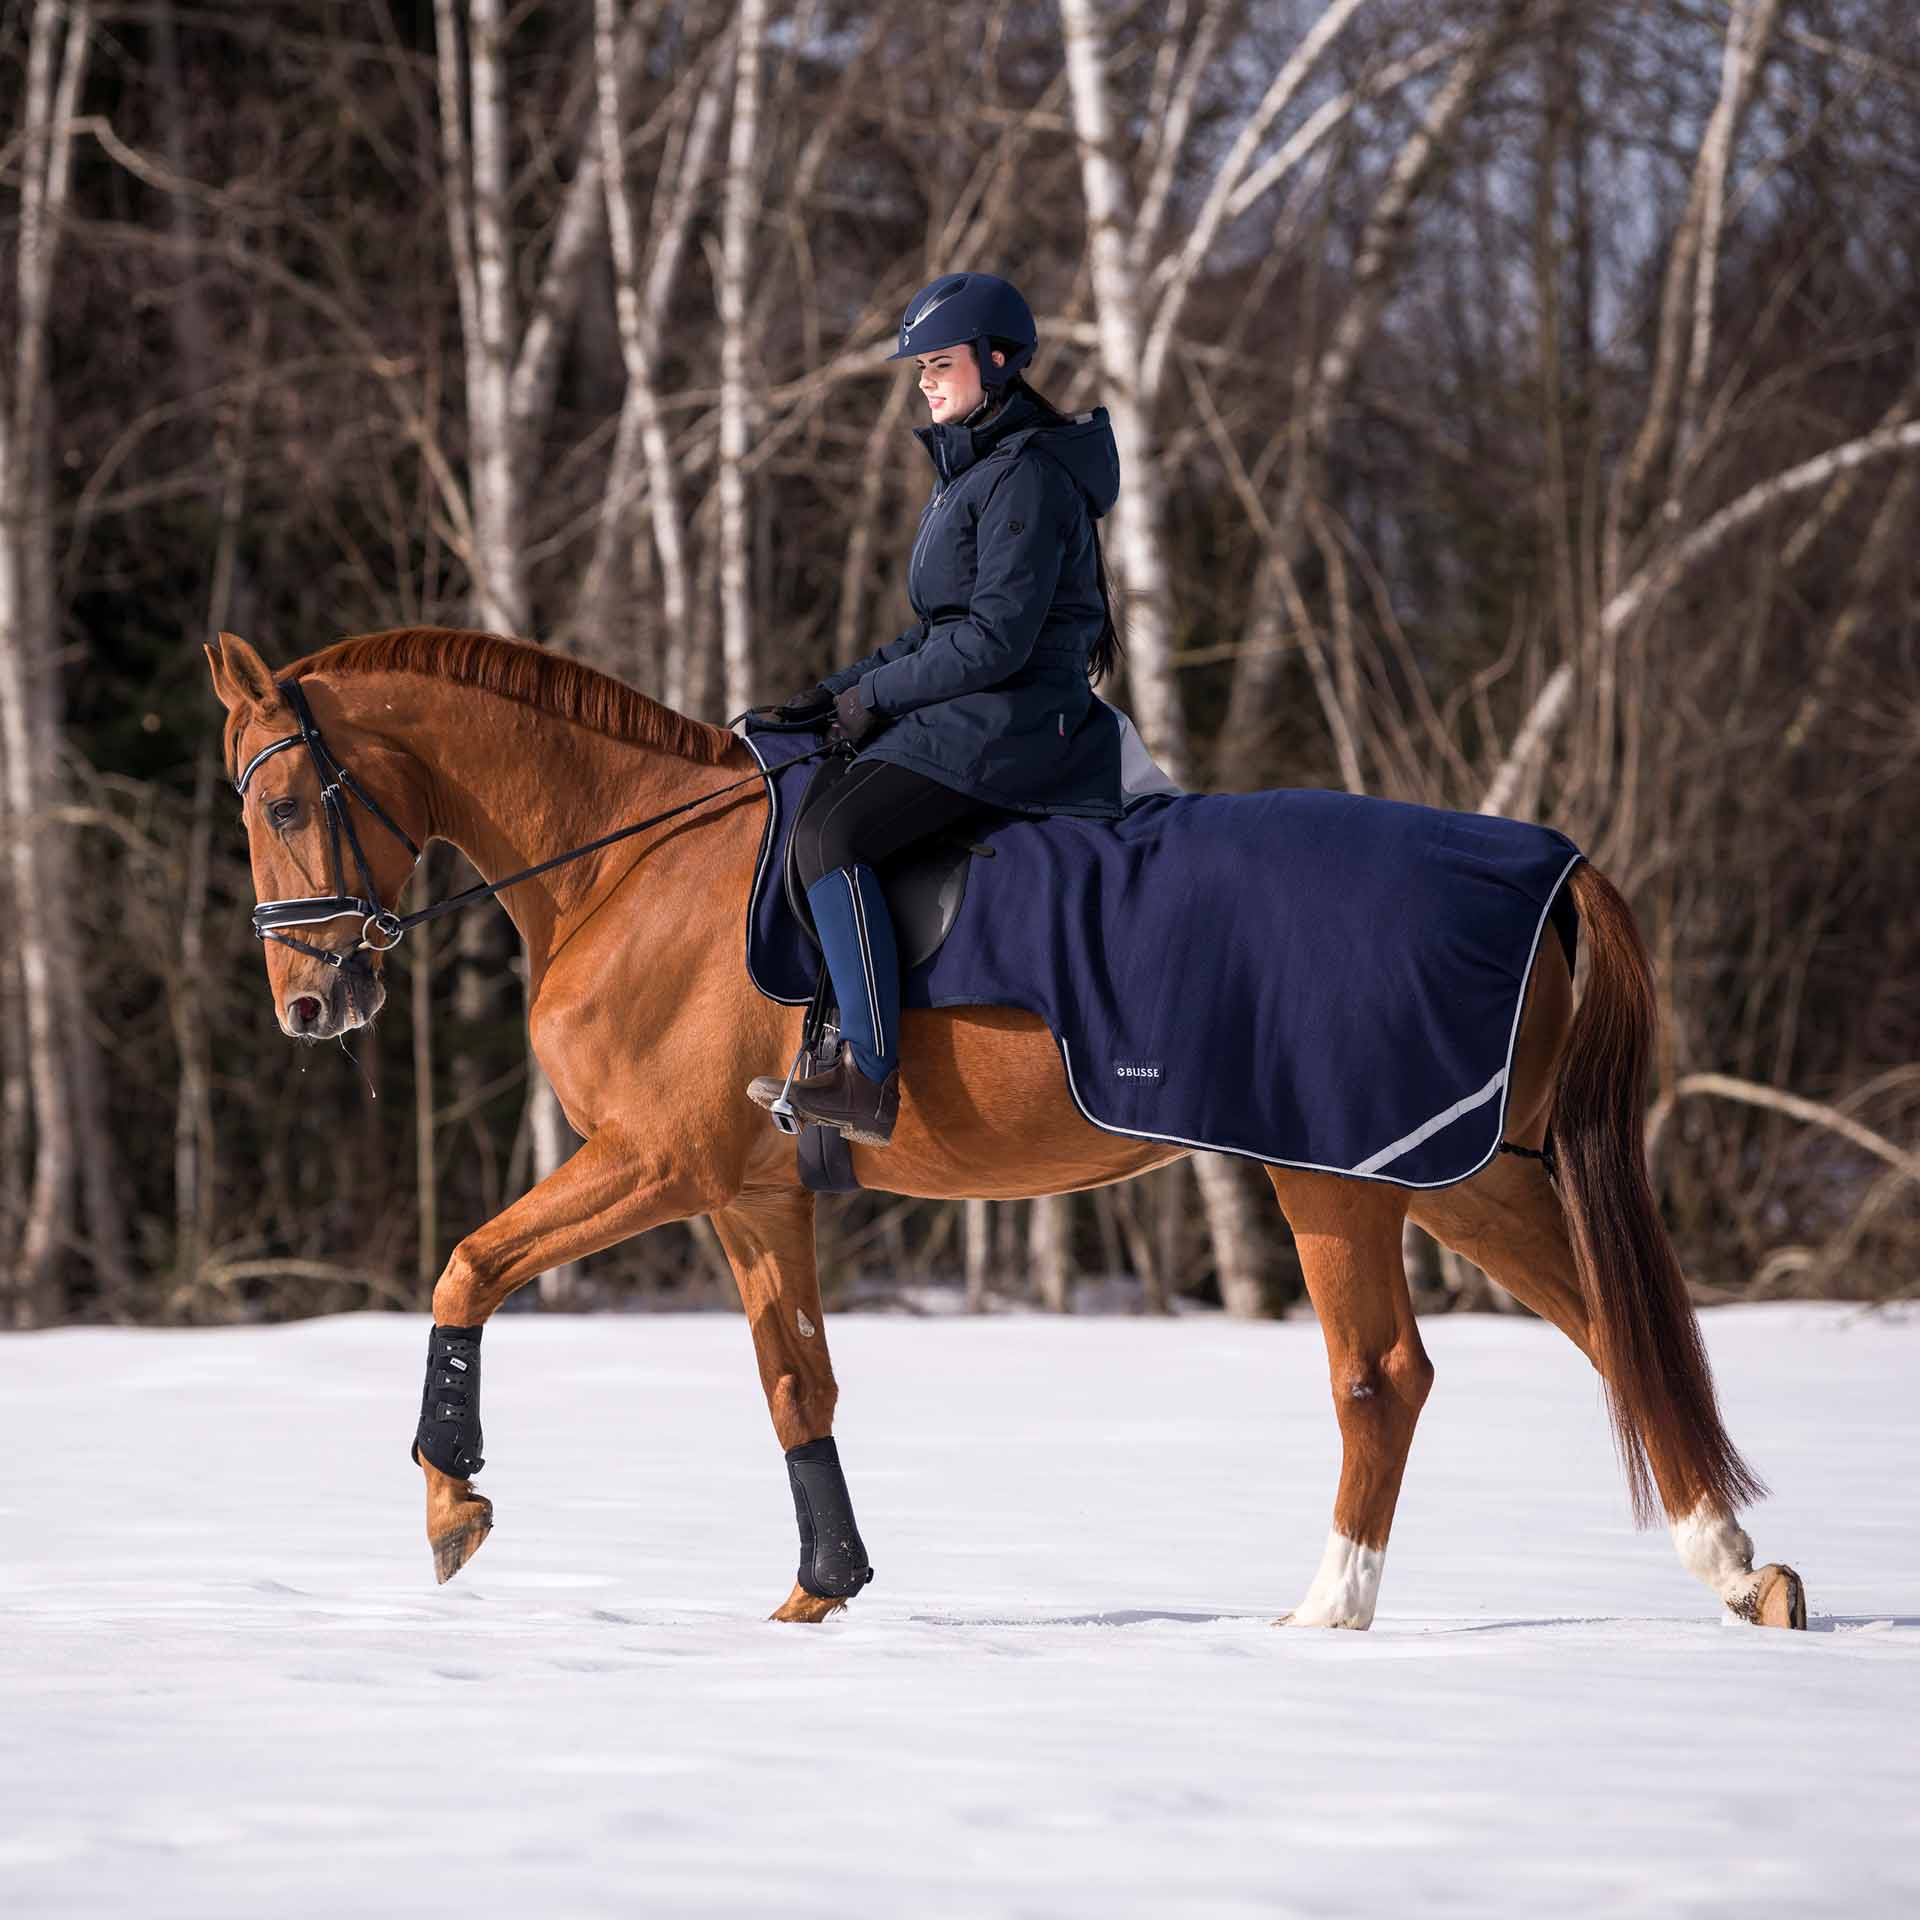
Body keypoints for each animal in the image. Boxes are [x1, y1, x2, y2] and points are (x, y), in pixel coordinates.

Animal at [206, 629, 1797, 1635]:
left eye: (281, 802)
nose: (307, 1003)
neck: (634, 869)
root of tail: (1545, 863)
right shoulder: (751, 1194)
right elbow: (797, 1384)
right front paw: (822, 1589)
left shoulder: (656, 1165)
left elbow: (469, 1265)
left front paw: (451, 1504)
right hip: (1464, 1172)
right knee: (1614, 1331)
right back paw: (1740, 1572)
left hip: (1336, 1176)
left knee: (1381, 1379)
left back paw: (1326, 1613)